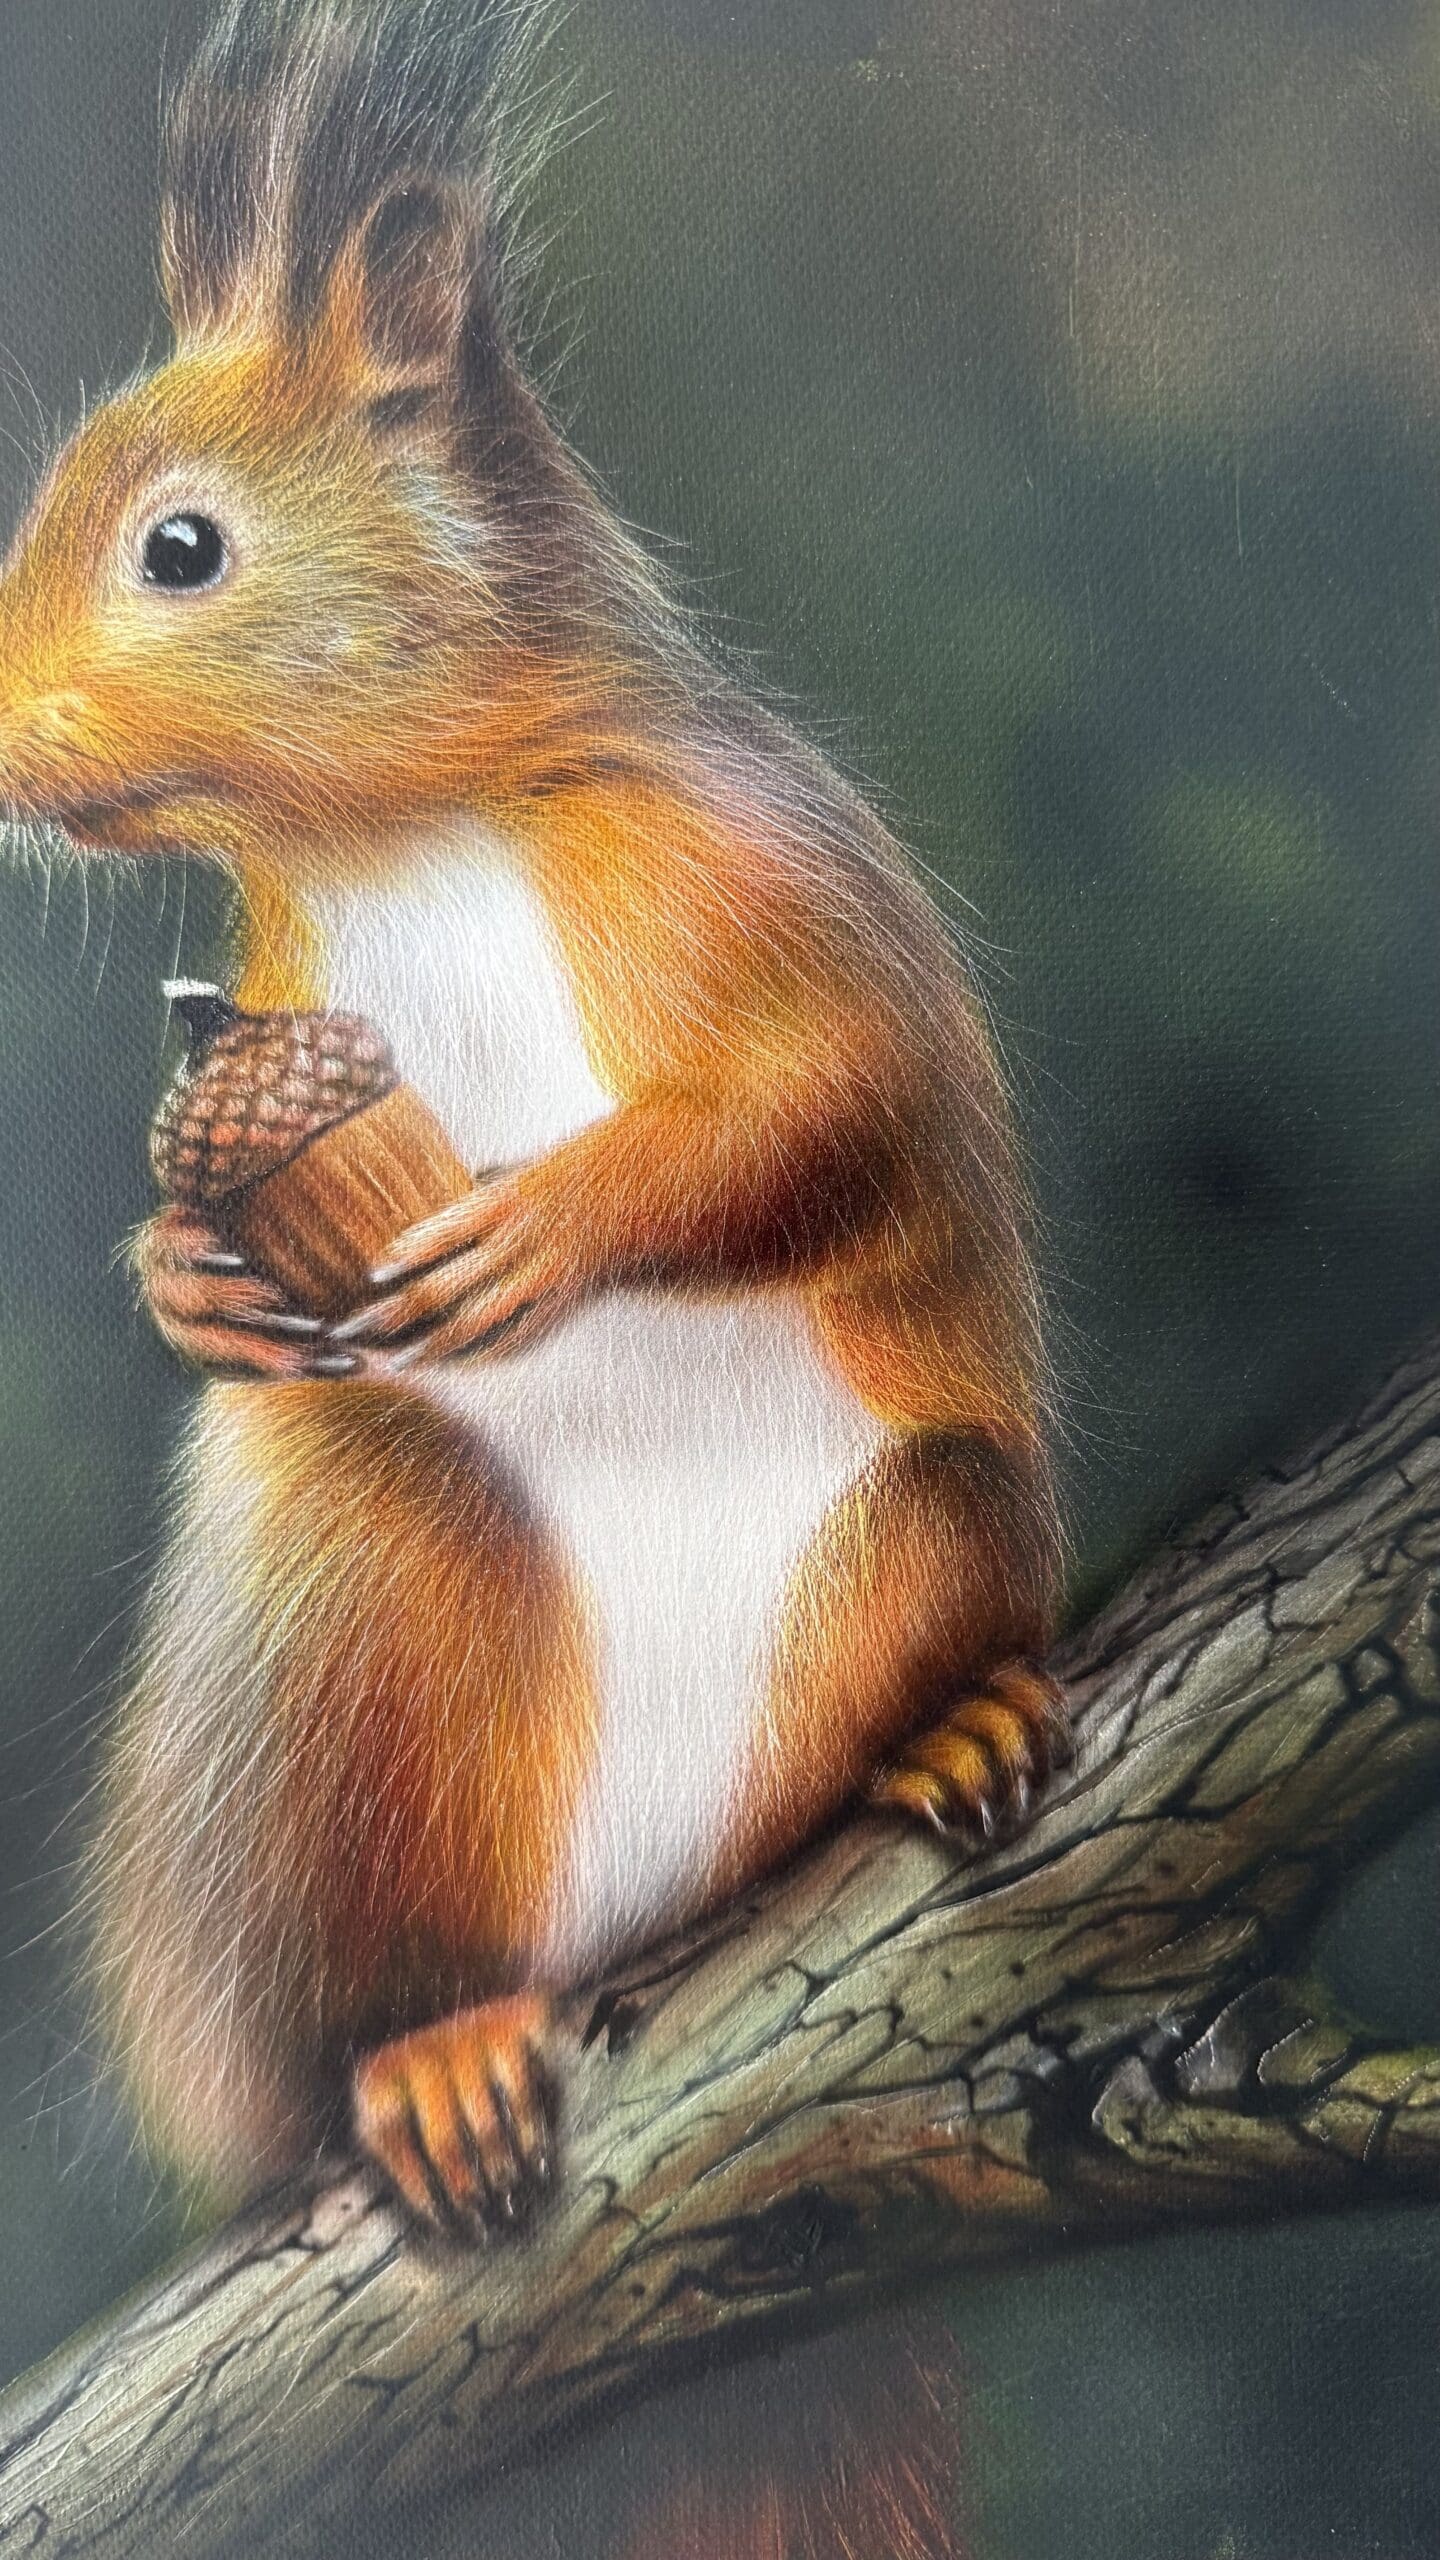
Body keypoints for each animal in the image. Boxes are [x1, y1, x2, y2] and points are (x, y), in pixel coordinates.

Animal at [0, 0, 1063, 2236]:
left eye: (180, 547)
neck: (407, 827)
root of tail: (626, 1918)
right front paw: (189, 1281)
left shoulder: (760, 887)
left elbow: (822, 1109)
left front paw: (542, 1229)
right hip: (348, 1640)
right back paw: (425, 2055)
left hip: (934, 1519)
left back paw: (943, 1738)